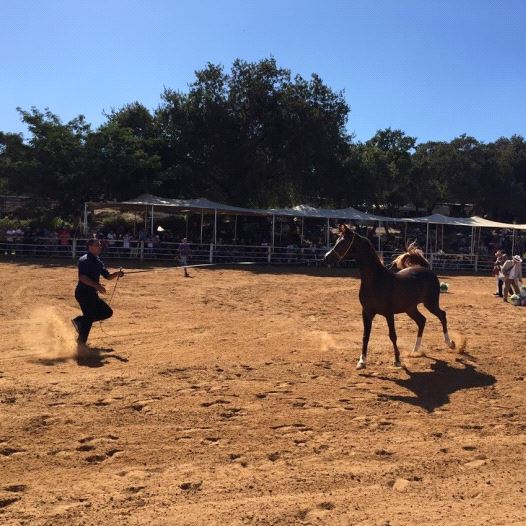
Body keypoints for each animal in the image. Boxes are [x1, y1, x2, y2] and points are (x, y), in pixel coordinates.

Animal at [324, 227, 456, 372]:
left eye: (342, 242)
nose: (326, 257)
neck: (376, 280)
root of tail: (427, 269)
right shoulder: (367, 312)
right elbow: (365, 336)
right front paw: (362, 362)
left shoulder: (389, 313)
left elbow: (393, 335)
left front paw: (397, 361)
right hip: (411, 308)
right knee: (422, 320)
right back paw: (415, 350)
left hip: (430, 303)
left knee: (442, 315)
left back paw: (450, 343)